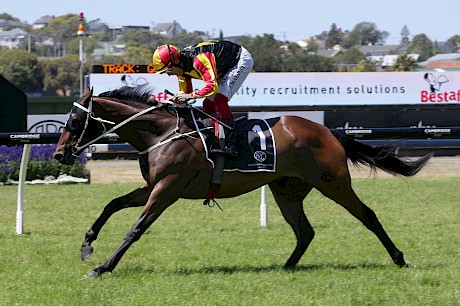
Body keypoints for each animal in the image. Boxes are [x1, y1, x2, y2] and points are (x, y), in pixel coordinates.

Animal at [53, 84, 432, 278]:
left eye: (73, 121)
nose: (58, 154)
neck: (162, 132)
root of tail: (328, 131)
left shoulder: (167, 189)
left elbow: (136, 228)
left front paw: (103, 266)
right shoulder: (153, 186)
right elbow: (112, 204)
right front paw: (87, 245)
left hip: (334, 182)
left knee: (368, 215)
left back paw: (400, 259)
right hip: (287, 190)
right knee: (305, 231)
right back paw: (286, 267)